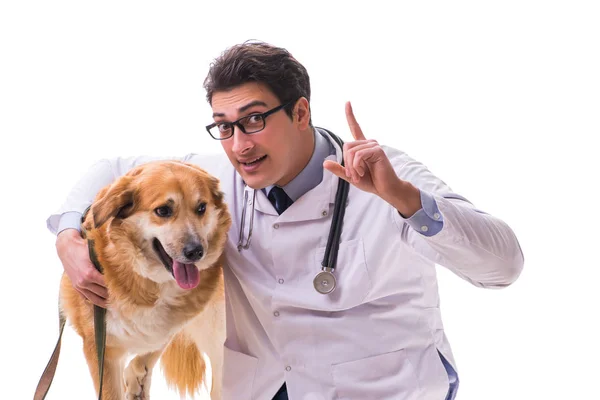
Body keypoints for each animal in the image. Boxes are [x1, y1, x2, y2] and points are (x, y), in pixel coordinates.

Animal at [59, 160, 232, 400]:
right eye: (163, 211)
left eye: (201, 208)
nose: (196, 252)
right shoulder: (101, 348)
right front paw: (135, 380)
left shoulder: (173, 323)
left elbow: (154, 344)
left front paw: (136, 377)